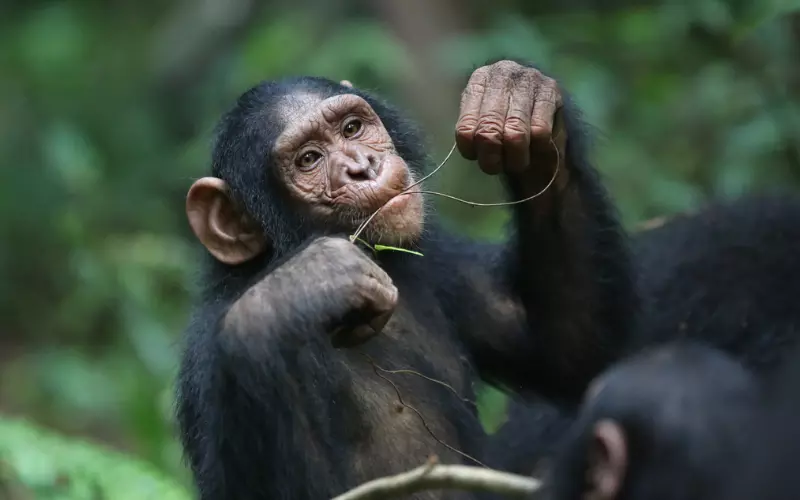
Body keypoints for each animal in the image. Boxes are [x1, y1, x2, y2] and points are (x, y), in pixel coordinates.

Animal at [177, 59, 636, 500]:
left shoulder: (438, 258)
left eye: (352, 128)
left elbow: (569, 353)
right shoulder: (207, 361)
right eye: (308, 159)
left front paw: (516, 97)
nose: (362, 167)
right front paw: (300, 289)